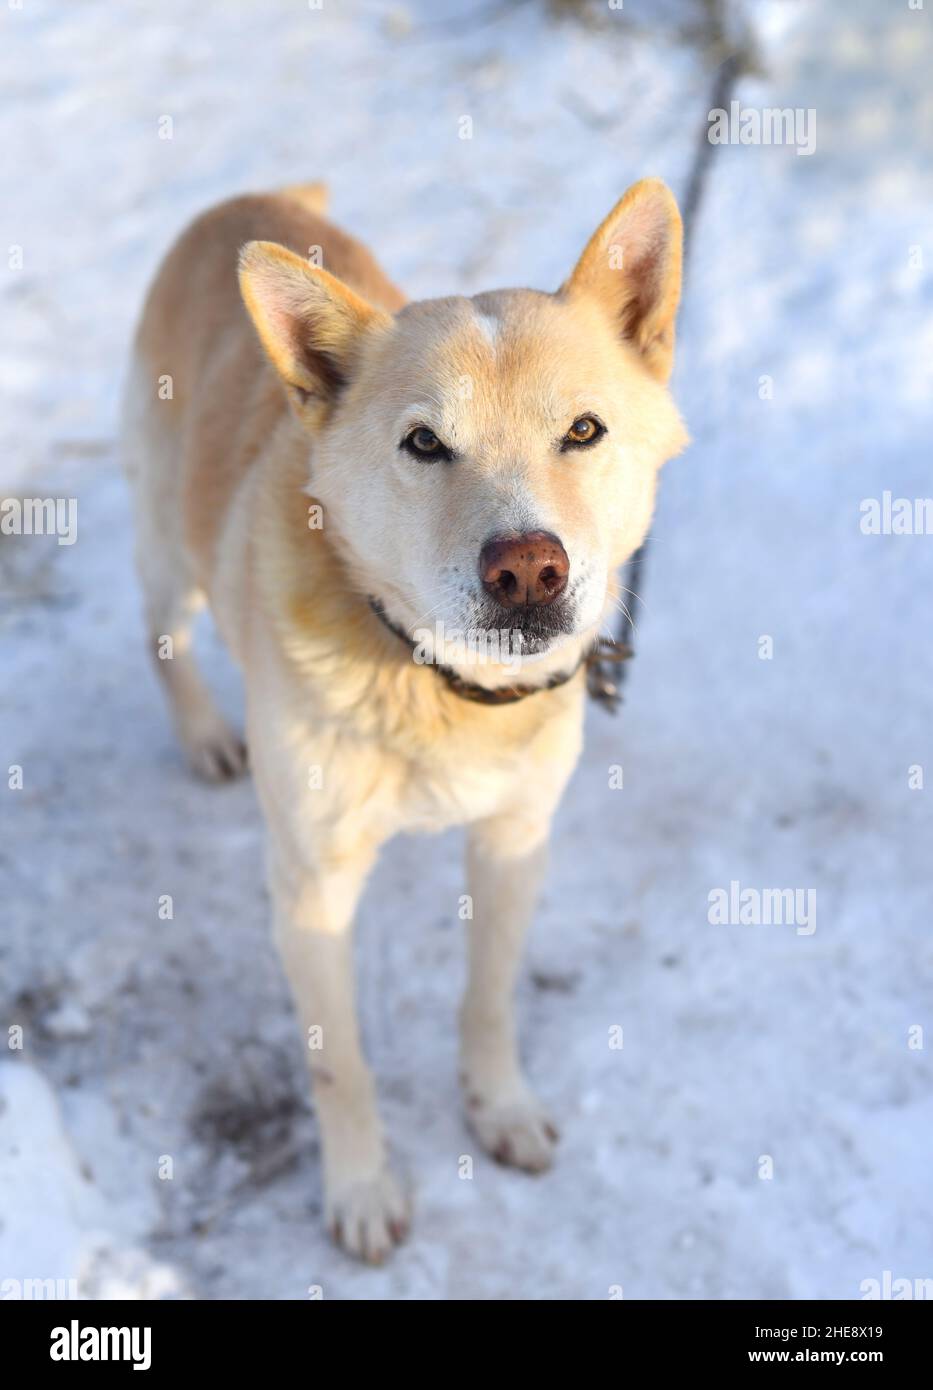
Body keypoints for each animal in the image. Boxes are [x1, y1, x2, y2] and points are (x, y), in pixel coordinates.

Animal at [123, 173, 689, 1262]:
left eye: (583, 431)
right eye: (425, 443)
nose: (528, 570)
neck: (435, 685)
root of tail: (248, 196)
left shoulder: (514, 841)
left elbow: (488, 999)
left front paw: (498, 1106)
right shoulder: (309, 889)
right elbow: (338, 1063)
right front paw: (360, 1188)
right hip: (170, 549)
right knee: (160, 635)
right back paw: (205, 732)